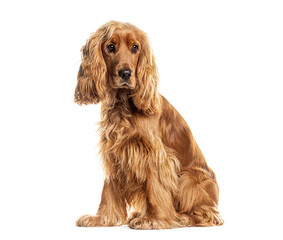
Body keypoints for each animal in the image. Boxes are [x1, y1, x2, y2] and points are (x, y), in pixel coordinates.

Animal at [75, 21, 224, 229]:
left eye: (135, 47)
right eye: (110, 47)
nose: (126, 73)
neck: (123, 105)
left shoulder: (156, 155)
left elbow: (156, 188)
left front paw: (154, 219)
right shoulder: (114, 151)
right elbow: (109, 189)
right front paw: (103, 219)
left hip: (190, 177)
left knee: (207, 215)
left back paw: (180, 217)